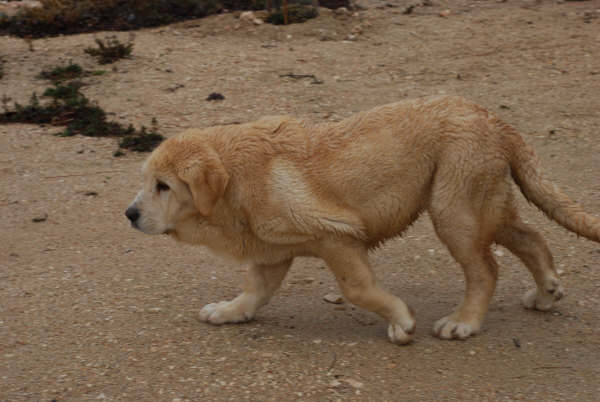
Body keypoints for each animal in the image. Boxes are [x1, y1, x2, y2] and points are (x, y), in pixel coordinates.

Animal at [124, 96, 596, 344]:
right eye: (145, 180)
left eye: (164, 186)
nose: (130, 214)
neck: (235, 180)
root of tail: (494, 119)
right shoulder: (272, 249)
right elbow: (255, 290)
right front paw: (228, 311)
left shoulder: (337, 237)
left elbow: (357, 289)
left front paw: (401, 320)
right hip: (482, 201)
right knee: (529, 235)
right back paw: (546, 292)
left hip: (454, 205)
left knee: (485, 267)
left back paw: (464, 321)